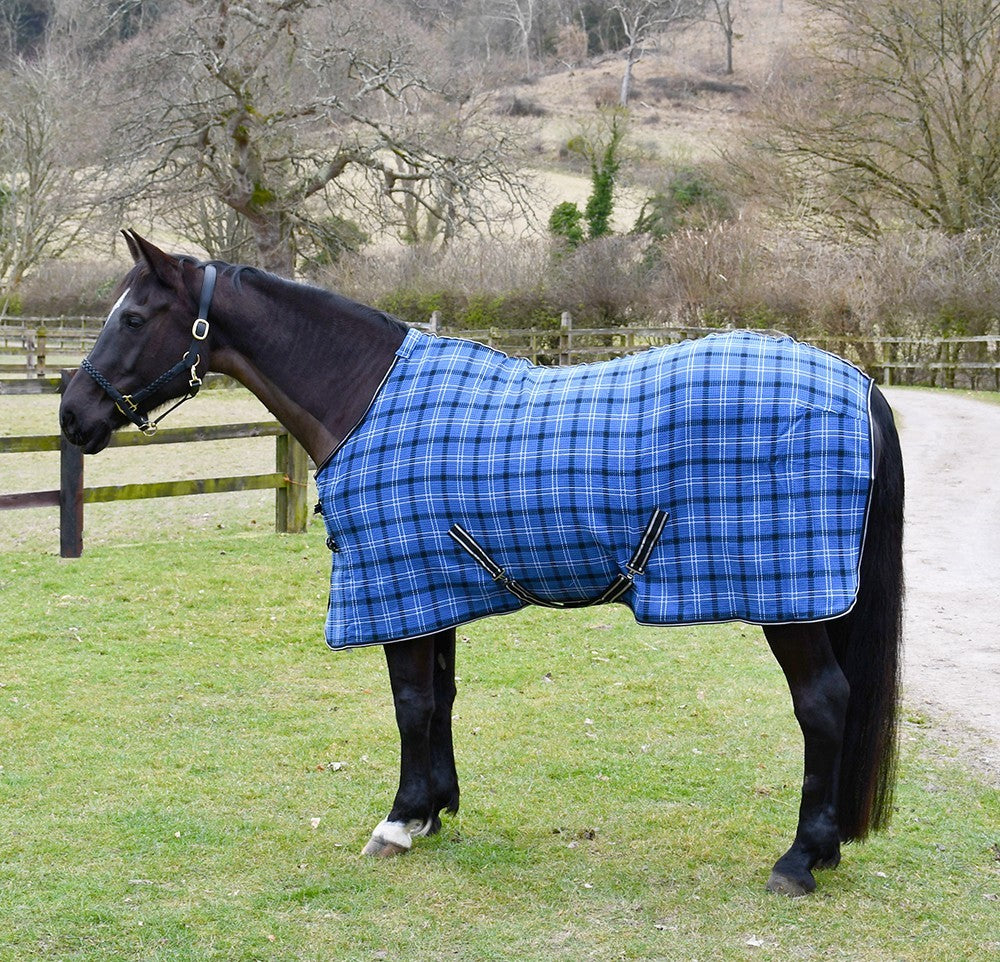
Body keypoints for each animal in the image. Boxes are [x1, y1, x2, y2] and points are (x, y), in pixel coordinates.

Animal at [60, 231, 904, 896]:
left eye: (133, 318)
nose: (73, 415)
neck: (364, 398)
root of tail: (857, 384)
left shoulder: (395, 585)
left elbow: (409, 703)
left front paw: (399, 821)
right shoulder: (428, 588)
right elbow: (440, 698)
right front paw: (435, 809)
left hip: (791, 603)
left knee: (823, 704)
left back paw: (800, 859)